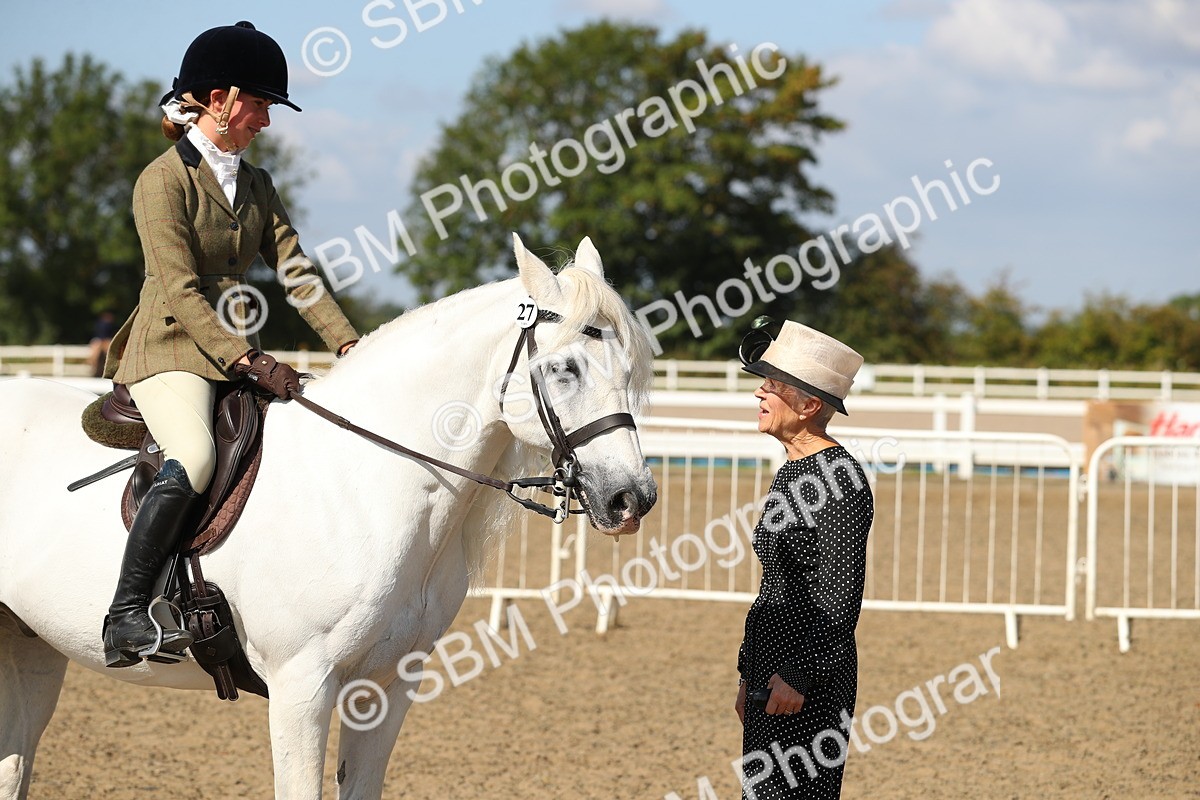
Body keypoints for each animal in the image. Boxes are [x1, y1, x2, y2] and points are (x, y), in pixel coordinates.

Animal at [0, 234, 657, 798]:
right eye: (565, 368)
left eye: (630, 369)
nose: (632, 499)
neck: (365, 484)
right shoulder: (302, 690)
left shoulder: (389, 687)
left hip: (31, 648)